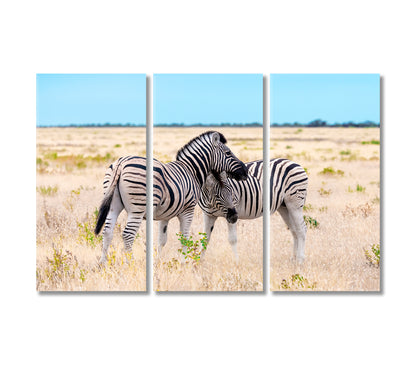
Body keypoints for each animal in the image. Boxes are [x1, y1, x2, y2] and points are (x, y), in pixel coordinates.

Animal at [94, 131, 249, 262]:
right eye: (228, 152)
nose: (245, 171)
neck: (192, 171)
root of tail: (120, 163)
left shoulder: (165, 214)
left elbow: (162, 239)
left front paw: (158, 261)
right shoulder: (188, 209)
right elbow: (184, 236)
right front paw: (183, 262)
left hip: (114, 205)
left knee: (107, 232)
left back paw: (103, 264)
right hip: (137, 208)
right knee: (128, 235)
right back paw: (130, 264)